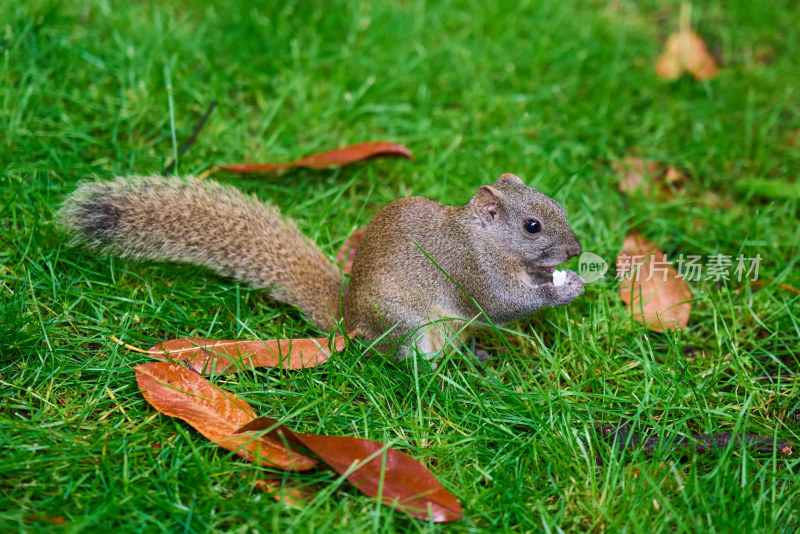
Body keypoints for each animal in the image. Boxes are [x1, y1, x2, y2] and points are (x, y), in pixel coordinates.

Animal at [56, 174, 580, 360]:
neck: (482, 237)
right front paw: (565, 289)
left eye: (558, 203)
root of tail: (349, 321)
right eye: (532, 226)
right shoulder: (468, 268)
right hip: (407, 325)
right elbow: (499, 305)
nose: (576, 251)